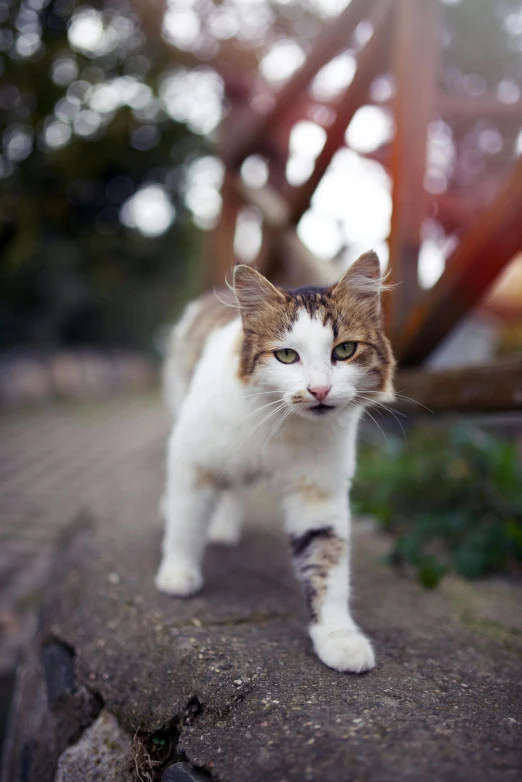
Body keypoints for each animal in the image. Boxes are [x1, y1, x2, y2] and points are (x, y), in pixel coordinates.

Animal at [156, 251, 392, 672]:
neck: (282, 426)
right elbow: (186, 524)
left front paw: (337, 637)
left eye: (344, 351)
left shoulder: (317, 493)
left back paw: (223, 527)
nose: (319, 390)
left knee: (234, 491)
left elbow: (327, 567)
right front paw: (178, 575)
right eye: (286, 356)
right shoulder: (192, 459)